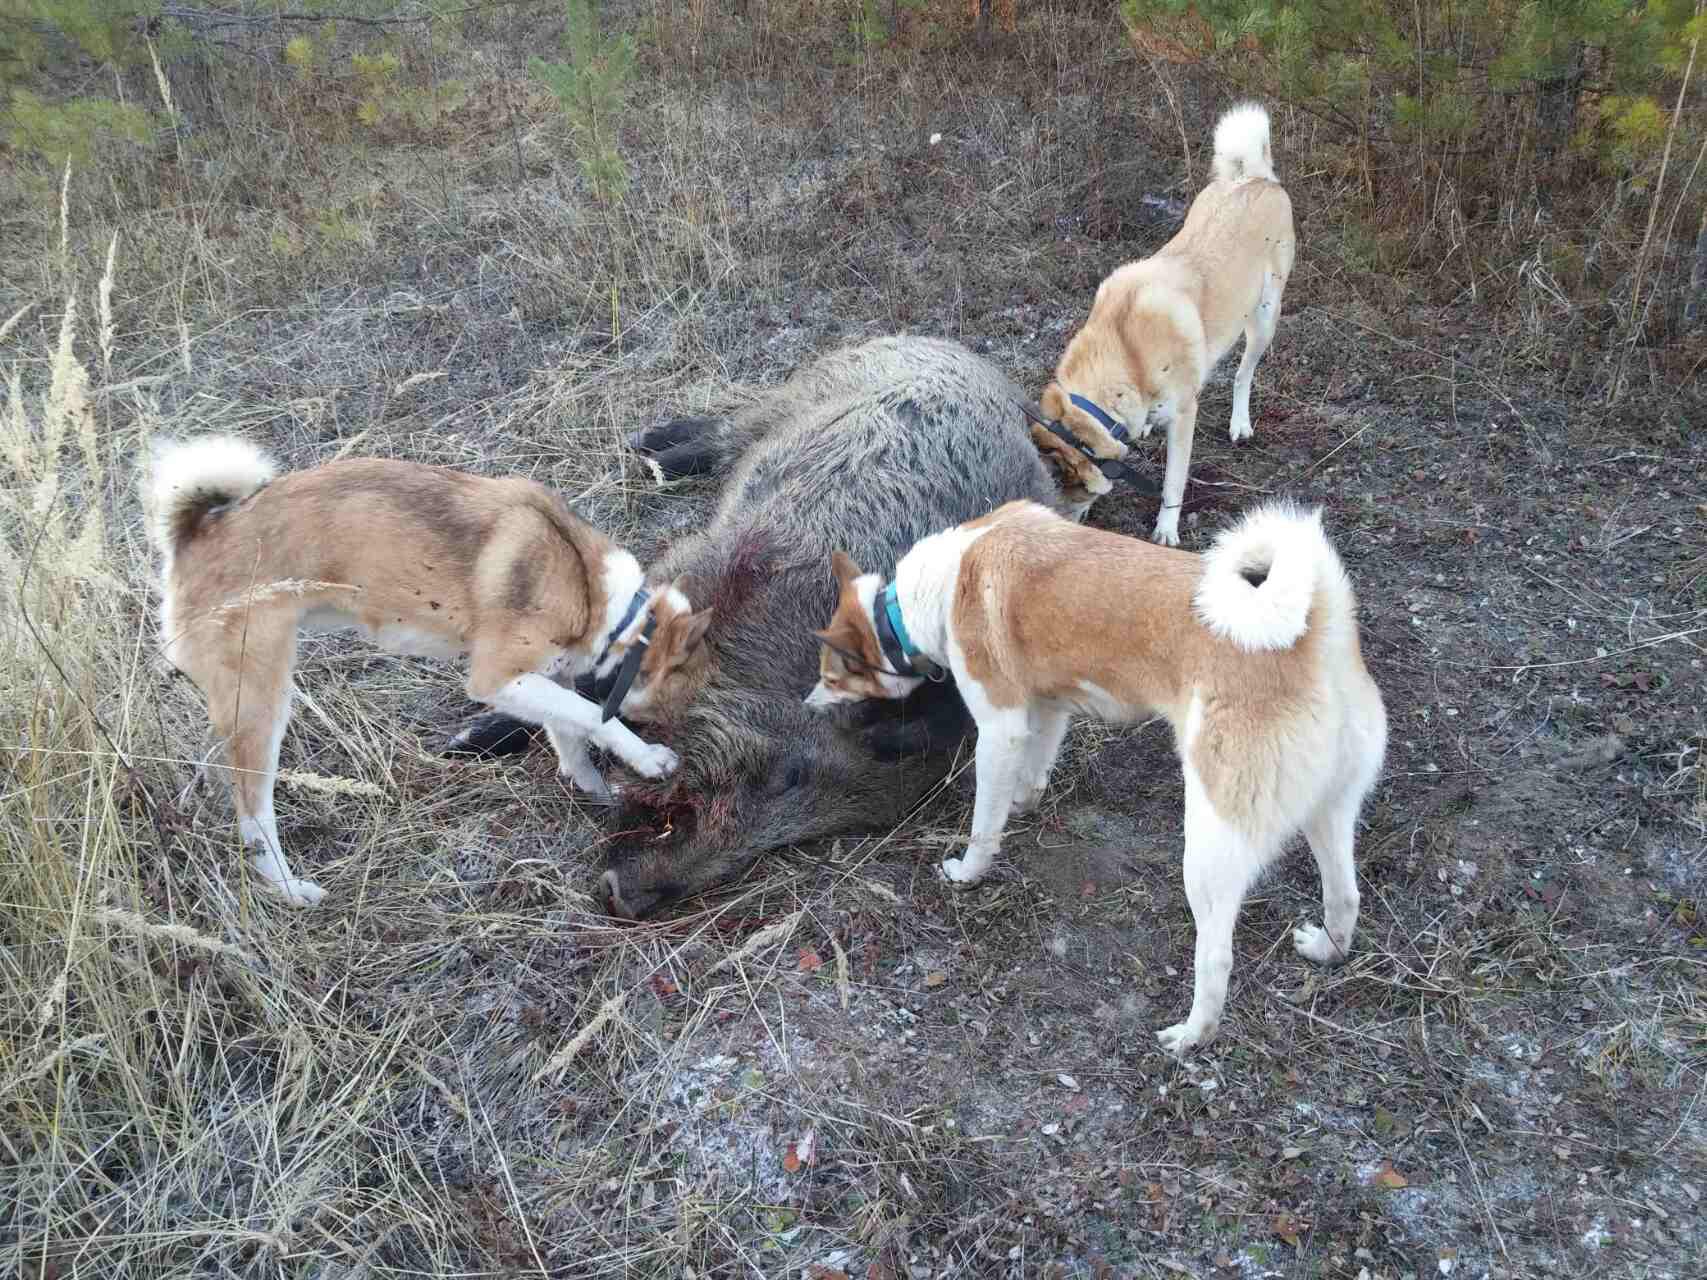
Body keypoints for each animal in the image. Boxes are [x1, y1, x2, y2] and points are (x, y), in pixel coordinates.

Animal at [139, 440, 713, 914]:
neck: (599, 597)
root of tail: (196, 533)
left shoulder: (541, 678)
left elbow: (571, 734)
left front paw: (596, 789)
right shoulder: (496, 678)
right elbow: (594, 716)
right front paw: (646, 757)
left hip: (237, 707)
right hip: (264, 704)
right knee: (254, 815)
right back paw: (289, 888)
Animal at [802, 494, 1386, 1058]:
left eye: (830, 676)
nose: (806, 705)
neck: (931, 589)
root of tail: (1315, 634)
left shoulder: (1000, 727)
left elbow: (984, 825)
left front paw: (969, 871)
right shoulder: (1047, 709)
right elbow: (1034, 772)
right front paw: (1023, 803)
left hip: (1211, 848)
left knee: (1217, 956)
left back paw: (1191, 1035)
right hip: (1329, 814)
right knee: (1345, 895)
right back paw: (1327, 950)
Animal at [1031, 101, 1297, 542]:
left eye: (1075, 489)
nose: (1060, 528)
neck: (1124, 352)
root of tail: (1253, 177)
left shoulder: (1185, 416)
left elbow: (1173, 482)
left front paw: (1166, 529)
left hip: (1264, 317)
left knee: (1244, 373)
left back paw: (1239, 422)